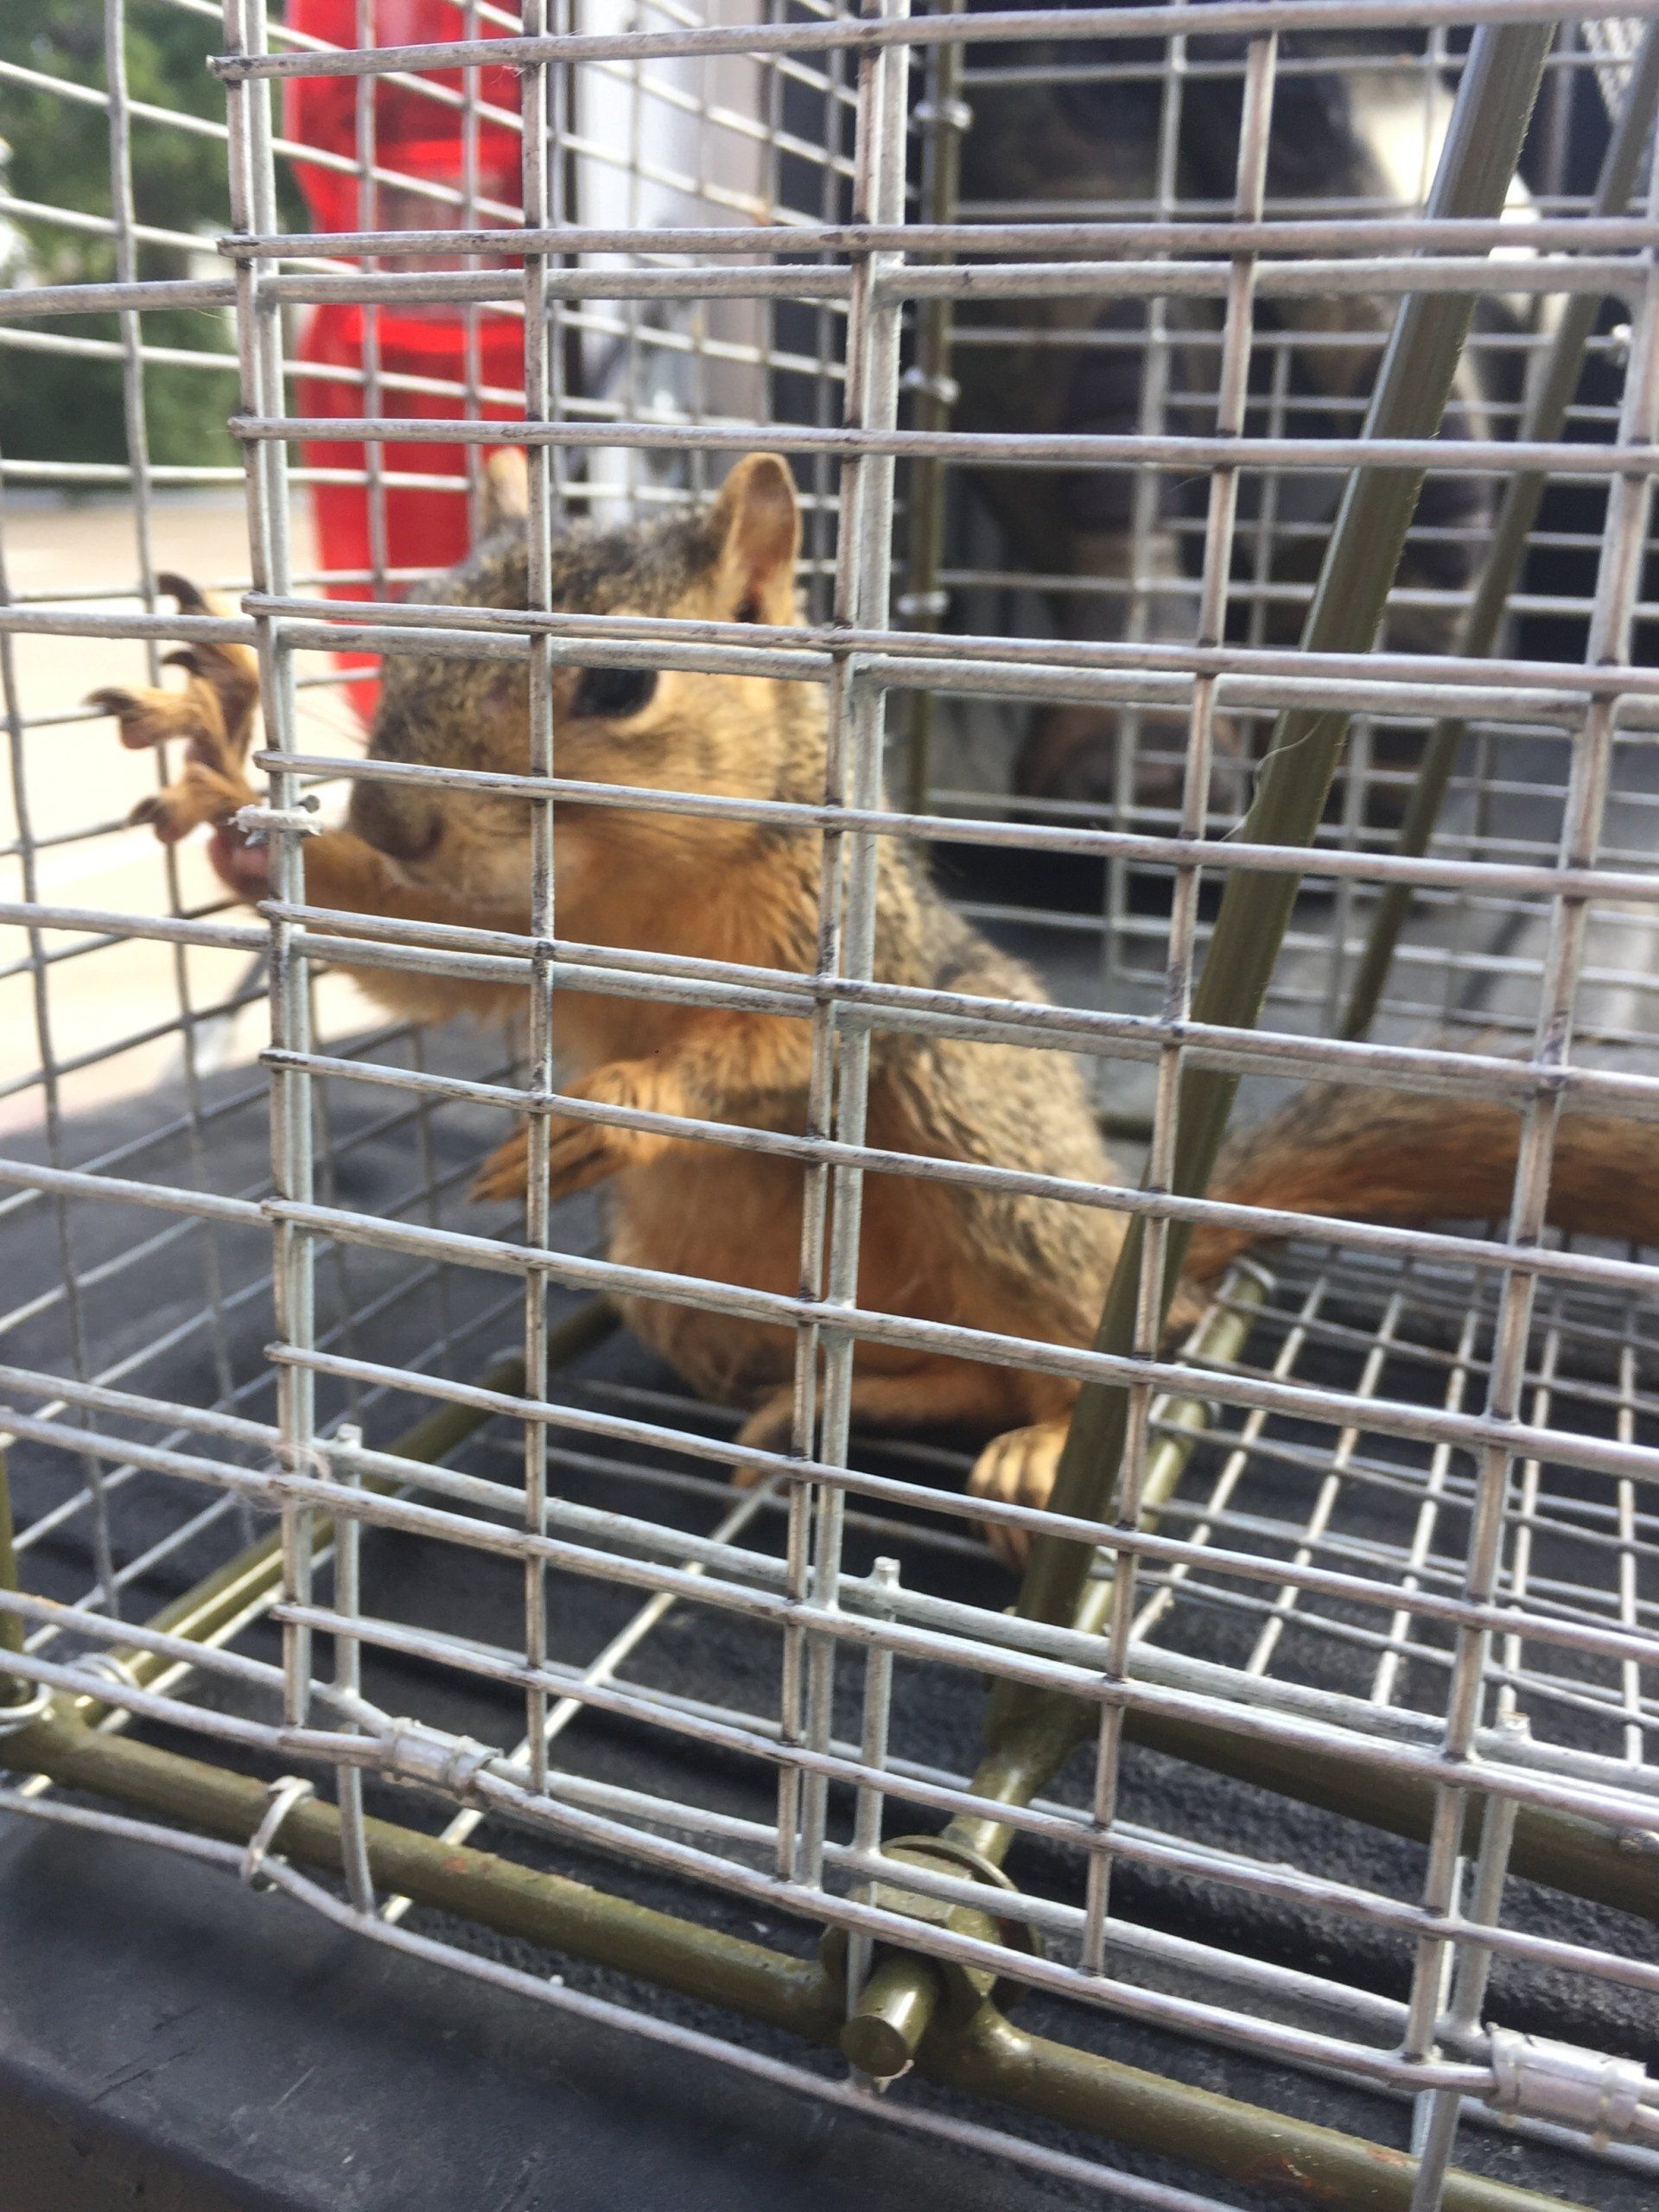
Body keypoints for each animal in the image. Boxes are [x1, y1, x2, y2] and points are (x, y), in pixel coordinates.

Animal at [92, 450, 1652, 1565]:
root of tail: (1139, 1233)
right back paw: (830, 1403)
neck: (633, 889)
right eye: (405, 630)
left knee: (1082, 1353)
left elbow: (777, 1051)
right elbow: (417, 958)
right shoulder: (501, 931)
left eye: (621, 682)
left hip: (978, 1123)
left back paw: (1049, 1441)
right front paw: (233, 797)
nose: (394, 818)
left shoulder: (838, 944)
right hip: (670, 1277)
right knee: (933, 1368)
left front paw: (627, 1100)